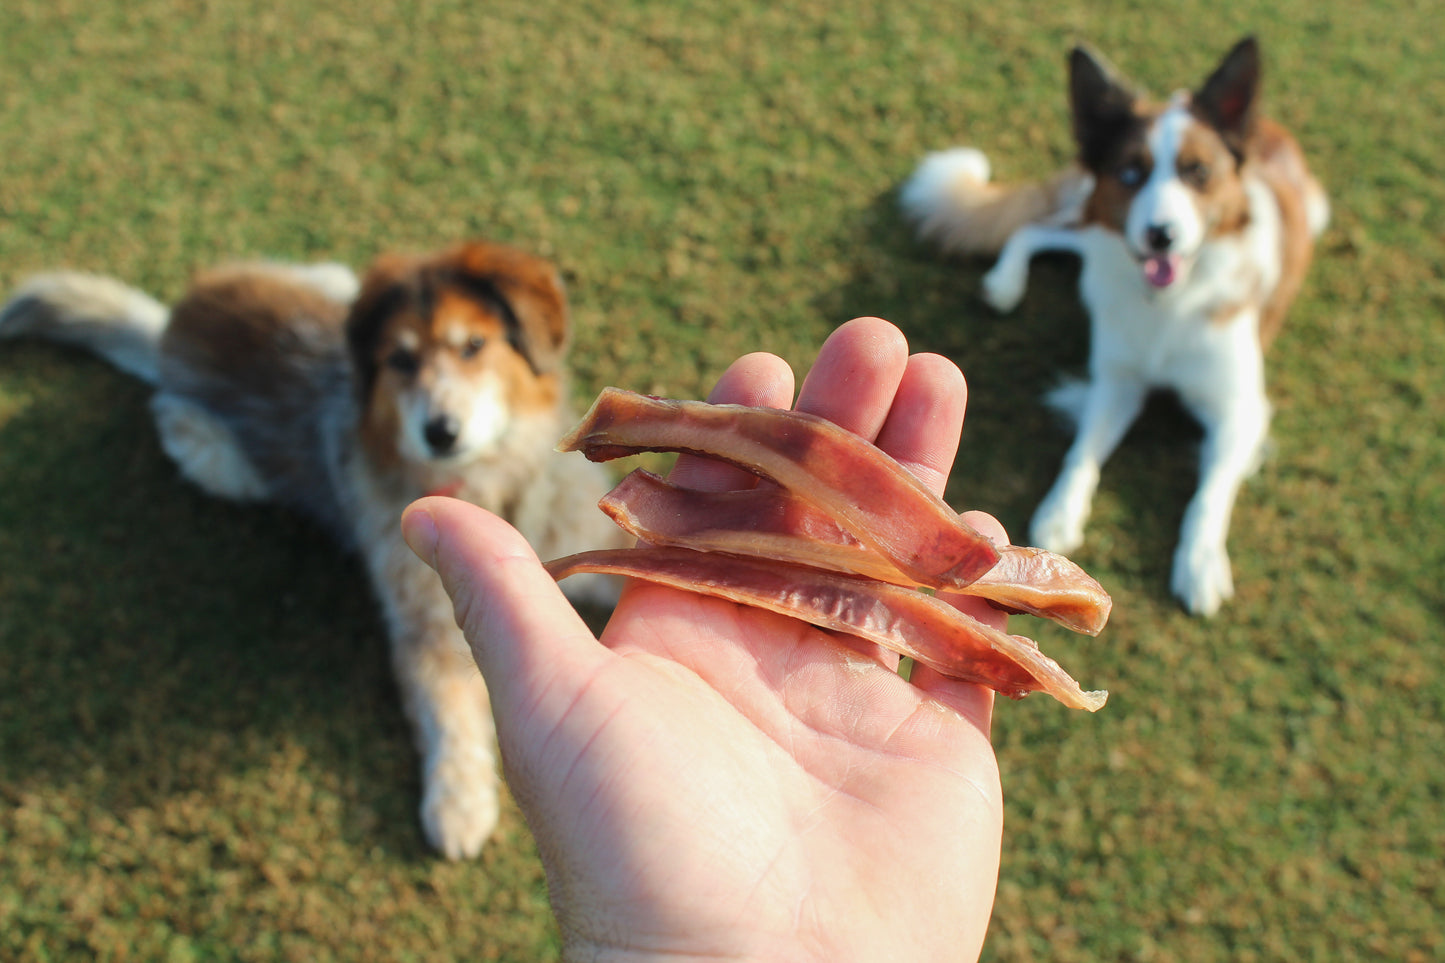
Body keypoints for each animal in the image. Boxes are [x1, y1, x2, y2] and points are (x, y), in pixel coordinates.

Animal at [0, 240, 624, 856]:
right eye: (400, 361)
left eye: (473, 346)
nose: (440, 431)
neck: (493, 483)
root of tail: (170, 328)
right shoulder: (424, 624)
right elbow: (446, 712)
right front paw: (457, 804)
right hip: (213, 455)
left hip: (332, 279)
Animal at [901, 37, 1329, 610]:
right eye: (1130, 173)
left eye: (1198, 172)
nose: (1160, 235)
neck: (1168, 305)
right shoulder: (1118, 381)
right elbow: (1083, 451)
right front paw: (1060, 511)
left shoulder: (1239, 407)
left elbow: (1211, 491)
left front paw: (1200, 564)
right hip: (1098, 229)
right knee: (1040, 229)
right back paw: (1004, 284)